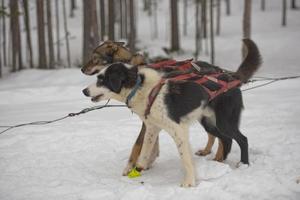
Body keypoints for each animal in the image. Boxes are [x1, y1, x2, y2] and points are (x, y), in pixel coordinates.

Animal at [82, 39, 262, 188]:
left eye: (101, 79)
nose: (84, 91)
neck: (140, 87)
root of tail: (231, 75)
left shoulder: (177, 130)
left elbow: (179, 156)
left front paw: (188, 183)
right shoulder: (152, 127)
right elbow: (146, 149)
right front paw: (140, 167)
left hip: (225, 122)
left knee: (241, 139)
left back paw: (243, 164)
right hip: (209, 122)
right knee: (224, 139)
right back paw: (218, 161)